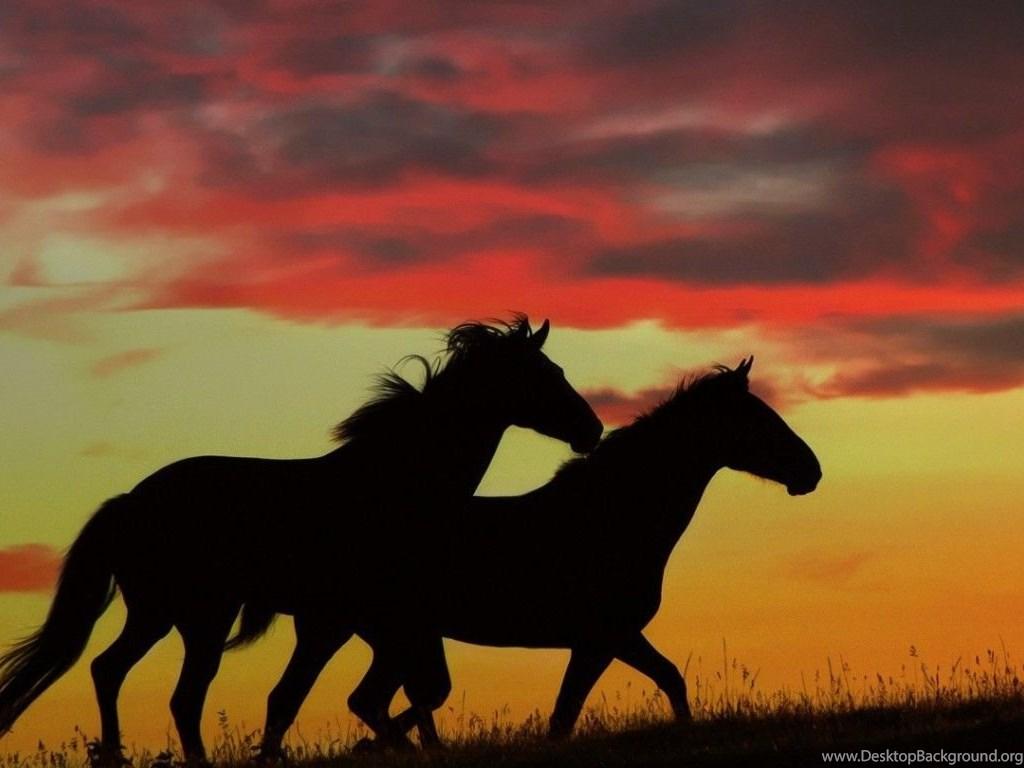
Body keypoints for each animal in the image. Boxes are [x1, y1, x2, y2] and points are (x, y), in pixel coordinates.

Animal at [0, 316, 603, 764]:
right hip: (200, 616)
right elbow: (316, 698)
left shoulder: (362, 623)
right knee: (180, 695)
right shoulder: (343, 621)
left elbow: (323, 699)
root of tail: (130, 501)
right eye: (546, 372)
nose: (592, 430)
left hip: (158, 614)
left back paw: (116, 755)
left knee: (111, 670)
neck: (392, 486)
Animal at [258, 357, 821, 750]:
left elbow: (667, 682)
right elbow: (566, 716)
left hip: (389, 639)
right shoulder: (602, 639)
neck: (612, 519)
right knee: (359, 700)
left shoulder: (613, 638)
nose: (811, 471)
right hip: (364, 633)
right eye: (760, 419)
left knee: (371, 700)